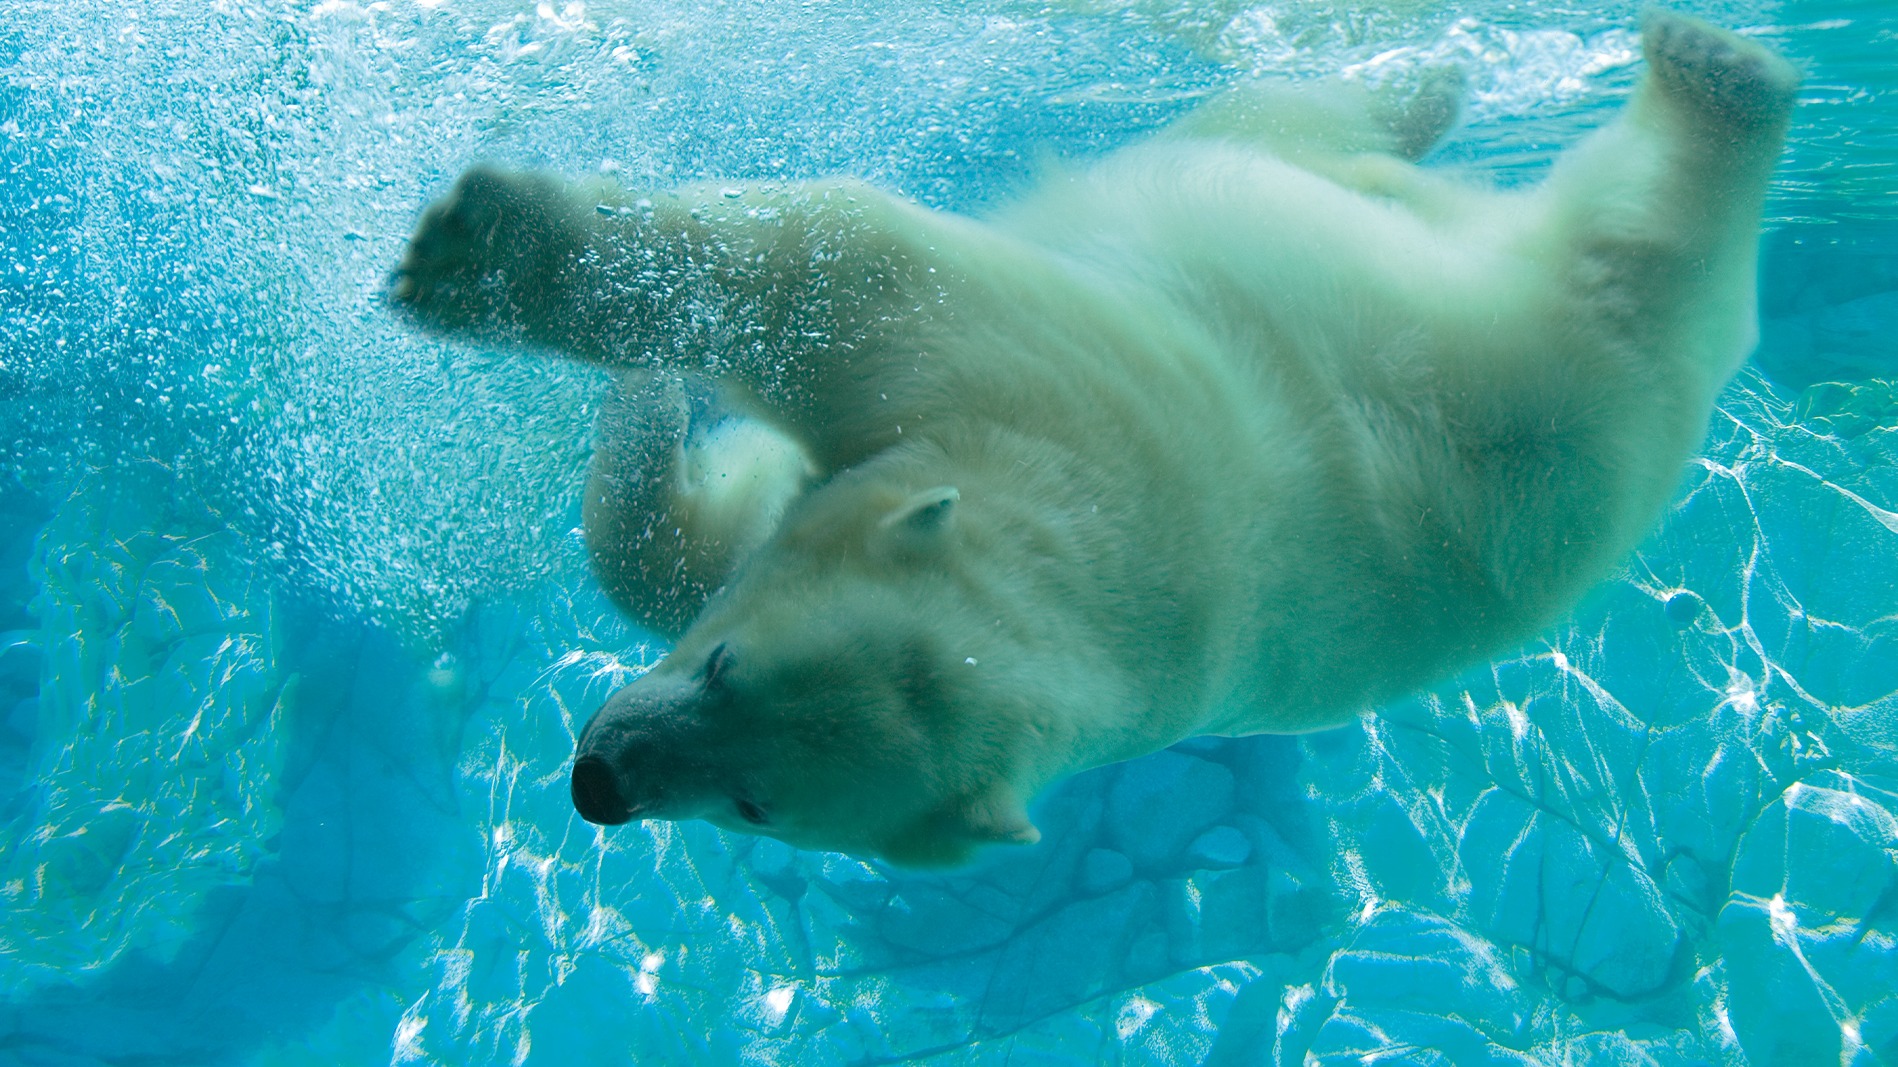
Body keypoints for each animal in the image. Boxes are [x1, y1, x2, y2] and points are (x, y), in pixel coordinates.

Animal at [390, 12, 1797, 867]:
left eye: (756, 801)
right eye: (724, 663)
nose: (600, 778)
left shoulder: (1027, 388)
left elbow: (833, 267)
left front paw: (478, 256)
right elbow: (718, 494)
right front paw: (613, 367)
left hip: (1571, 364)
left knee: (1635, 242)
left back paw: (1719, 79)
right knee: (1292, 129)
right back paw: (1439, 86)